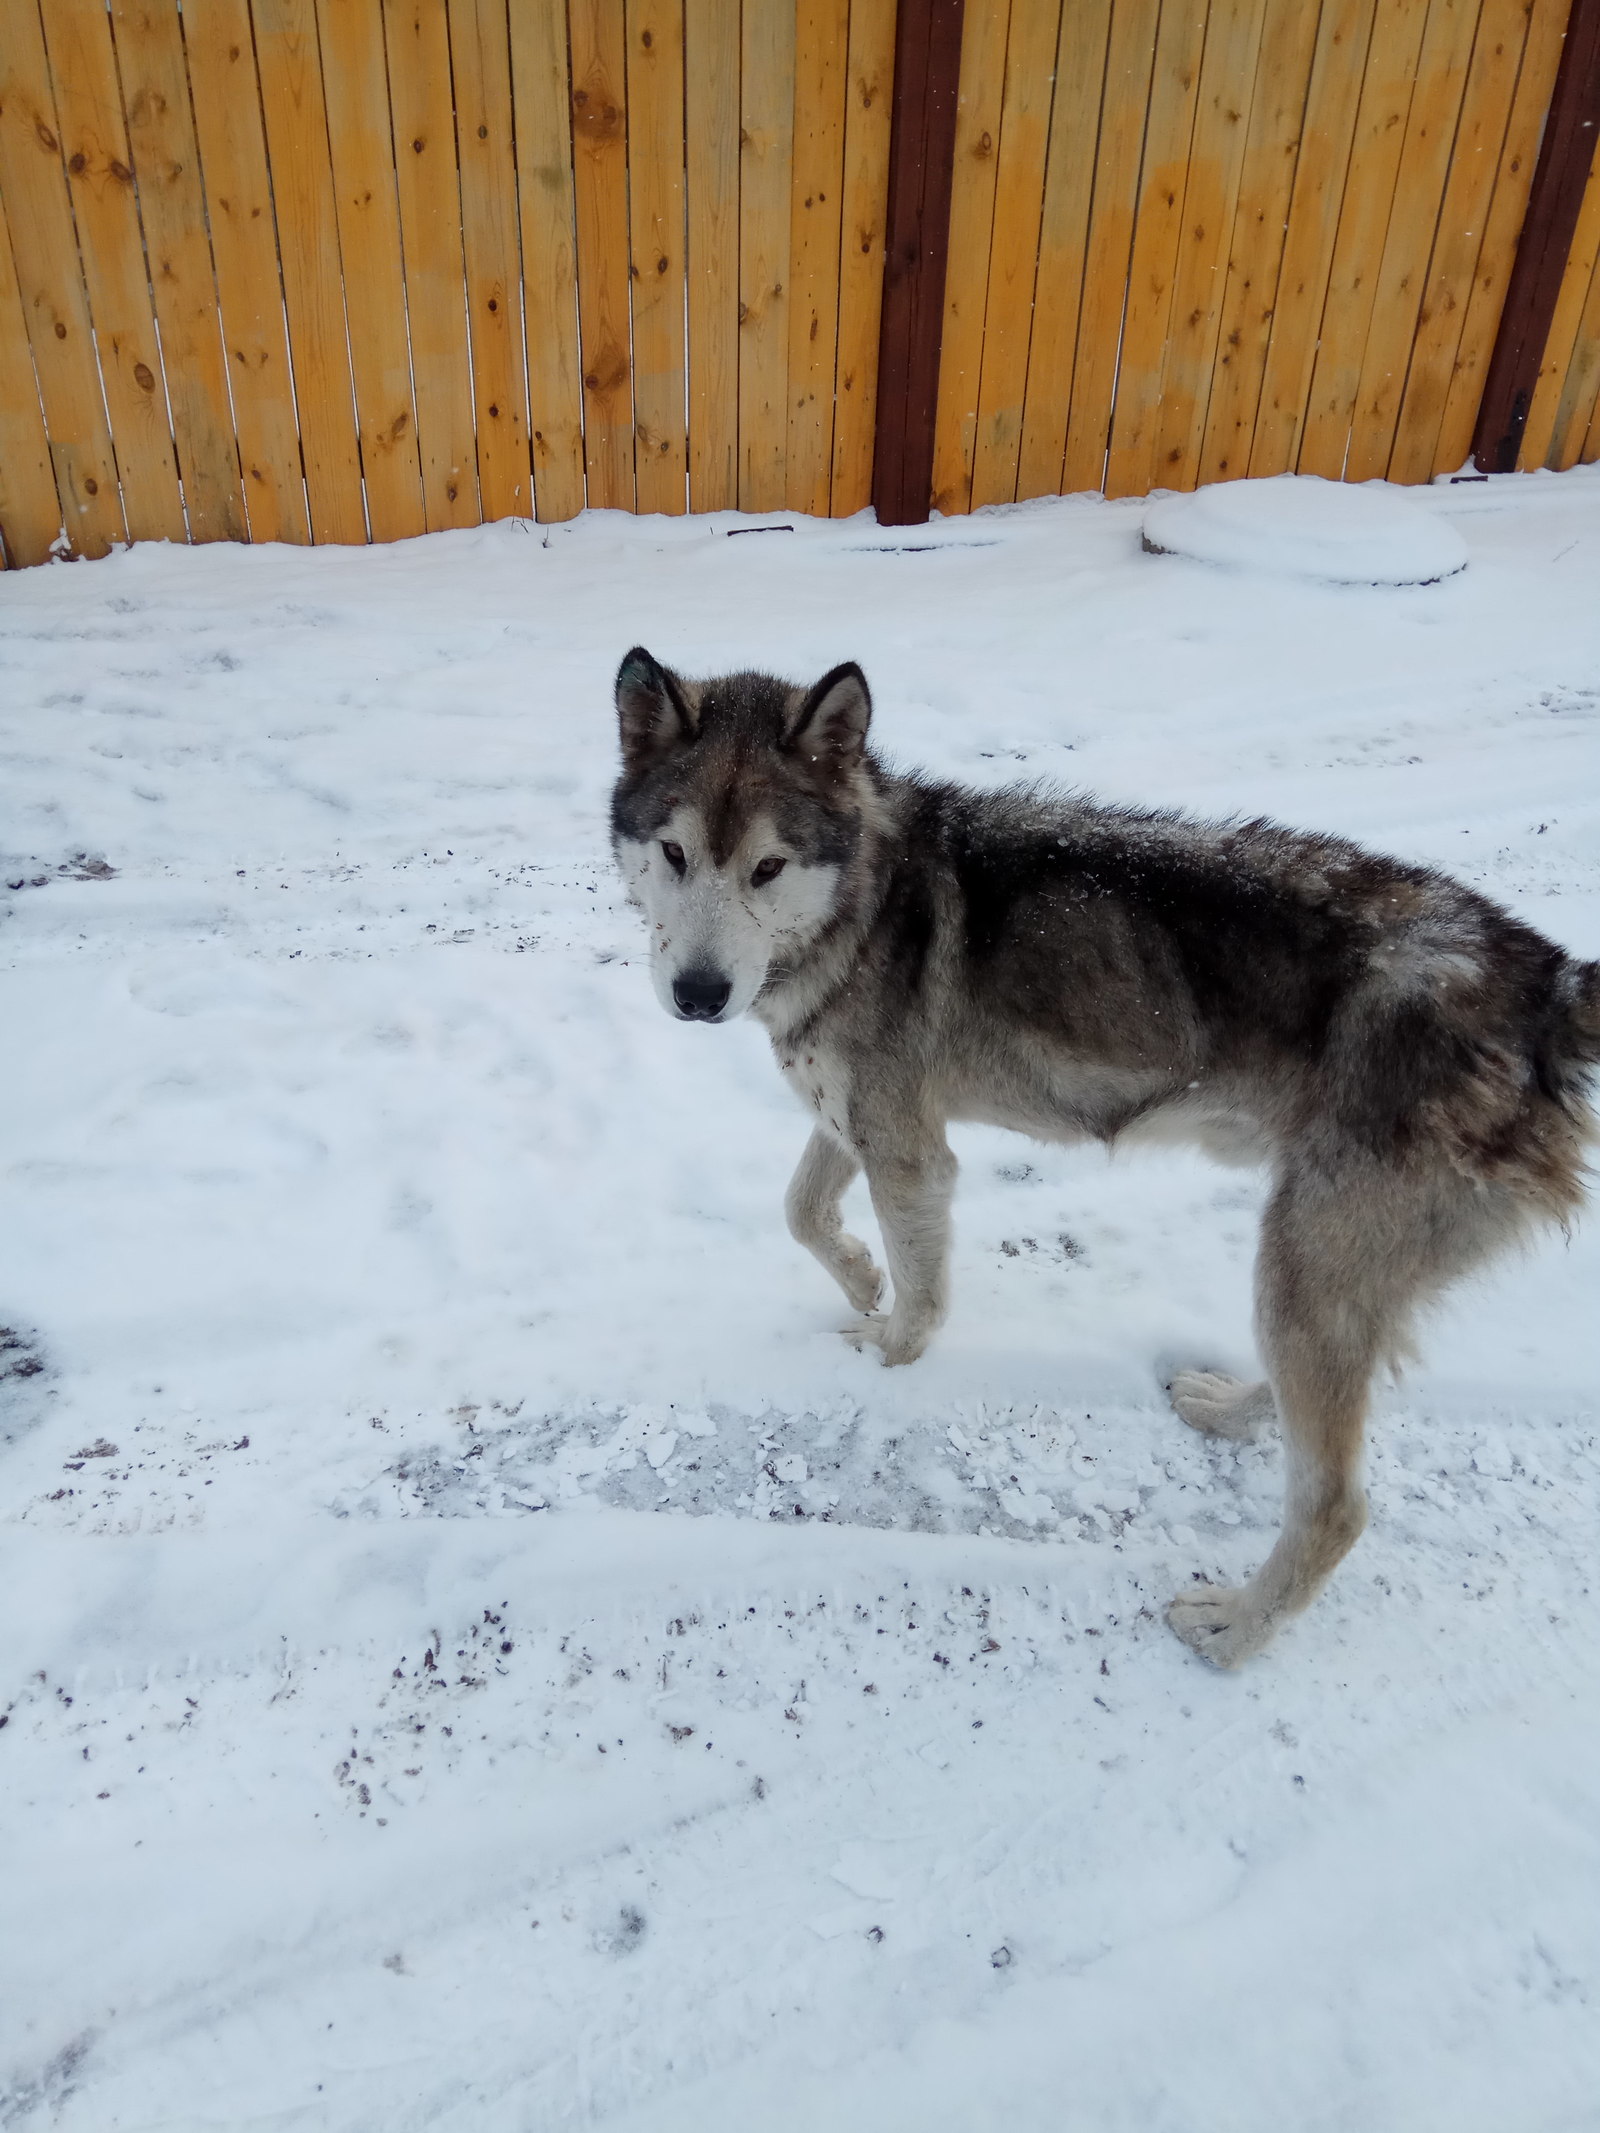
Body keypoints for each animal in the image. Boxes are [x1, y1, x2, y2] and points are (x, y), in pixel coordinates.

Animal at [614, 648, 1600, 1663]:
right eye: (677, 854)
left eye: (767, 867)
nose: (698, 994)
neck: (868, 898)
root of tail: (1551, 984)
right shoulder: (856, 1115)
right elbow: (802, 1210)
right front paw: (858, 1275)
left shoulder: (909, 1151)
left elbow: (918, 1297)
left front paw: (886, 1349)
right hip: (1320, 1281)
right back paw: (1228, 1409)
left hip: (1305, 1266)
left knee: (1335, 1506)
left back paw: (1234, 1629)